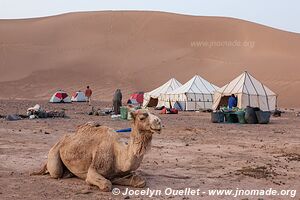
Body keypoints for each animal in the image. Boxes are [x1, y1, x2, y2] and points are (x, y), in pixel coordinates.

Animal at [31, 110, 161, 191]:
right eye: (142, 117)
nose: (159, 121)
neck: (119, 153)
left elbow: (140, 181)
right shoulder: (95, 167)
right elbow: (106, 184)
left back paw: (68, 173)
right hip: (55, 151)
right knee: (55, 172)